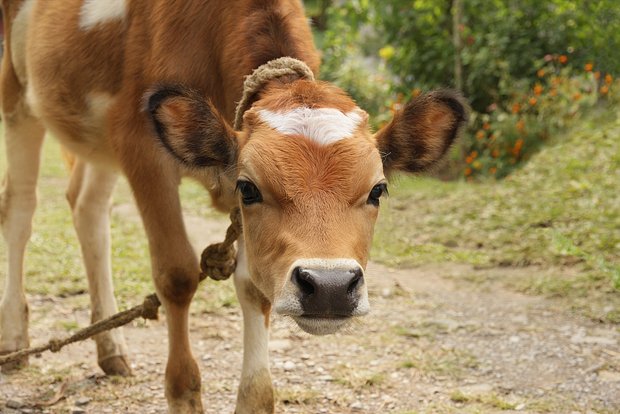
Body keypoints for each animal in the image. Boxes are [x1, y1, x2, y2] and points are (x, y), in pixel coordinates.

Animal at [0, 0, 464, 412]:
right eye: (248, 188)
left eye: (377, 190)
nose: (330, 287)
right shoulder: (140, 146)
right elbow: (176, 275)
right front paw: (183, 394)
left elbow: (255, 287)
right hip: (17, 97)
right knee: (20, 209)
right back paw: (15, 338)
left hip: (97, 143)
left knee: (87, 207)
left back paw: (111, 348)